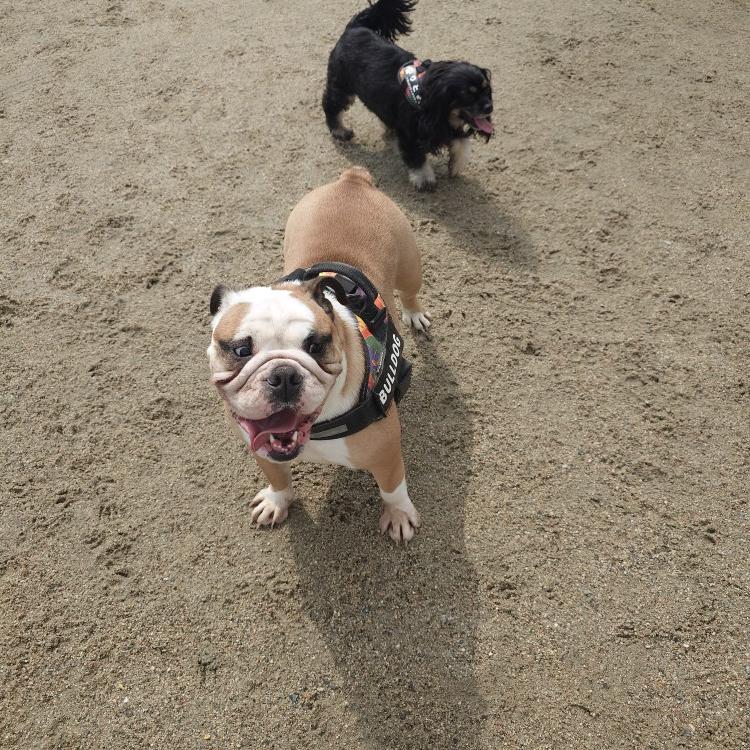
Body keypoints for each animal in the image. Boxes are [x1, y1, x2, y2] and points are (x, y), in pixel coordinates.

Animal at [207, 168, 431, 542]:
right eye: (240, 350)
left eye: (315, 346)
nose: (283, 375)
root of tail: (352, 180)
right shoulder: (263, 451)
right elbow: (278, 477)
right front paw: (277, 501)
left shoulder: (386, 454)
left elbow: (392, 489)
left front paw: (399, 515)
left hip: (410, 265)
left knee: (411, 292)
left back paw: (415, 314)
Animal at [322, 0, 494, 191]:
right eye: (468, 94)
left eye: (486, 89)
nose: (489, 107)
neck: (426, 97)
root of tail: (355, 27)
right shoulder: (411, 134)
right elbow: (417, 159)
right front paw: (425, 180)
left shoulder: (443, 126)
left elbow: (462, 143)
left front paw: (456, 165)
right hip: (342, 87)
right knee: (331, 106)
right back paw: (340, 131)